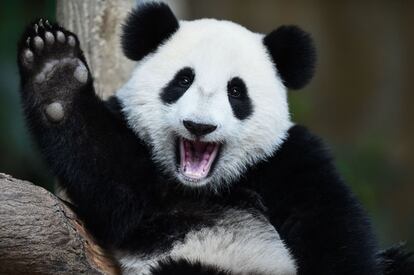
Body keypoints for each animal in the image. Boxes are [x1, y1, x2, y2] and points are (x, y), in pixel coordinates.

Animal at [15, 1, 410, 274]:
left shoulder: (287, 157)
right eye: (183, 80)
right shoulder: (140, 182)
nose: (199, 126)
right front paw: (56, 73)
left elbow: (329, 222)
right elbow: (113, 182)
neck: (205, 188)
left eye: (236, 91)